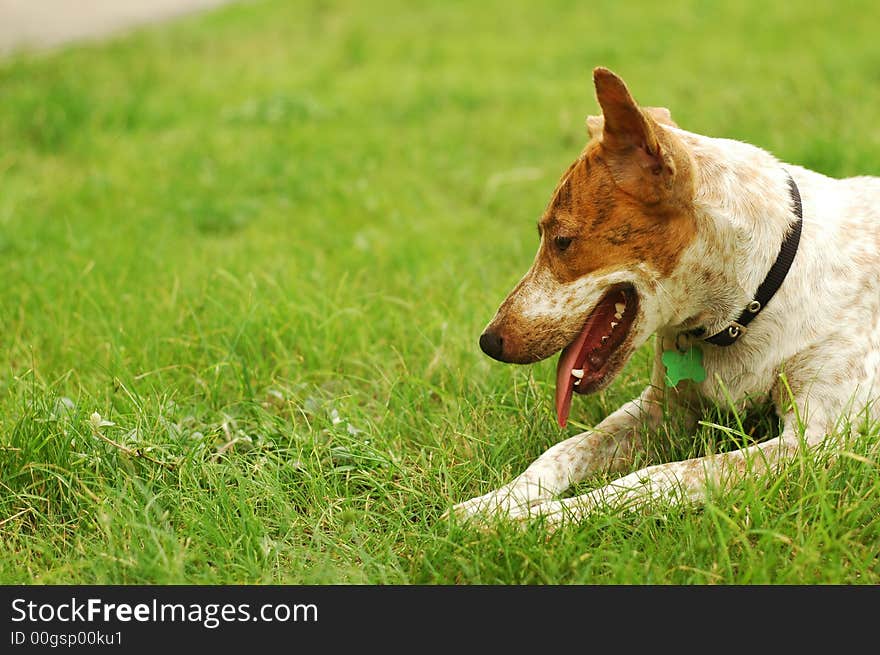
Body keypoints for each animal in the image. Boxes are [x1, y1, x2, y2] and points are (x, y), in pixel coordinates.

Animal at [450, 66, 880, 528]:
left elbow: (653, 478)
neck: (750, 302)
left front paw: (537, 520)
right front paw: (492, 505)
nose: (488, 342)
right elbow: (562, 450)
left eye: (563, 241)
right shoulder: (662, 409)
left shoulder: (819, 442)